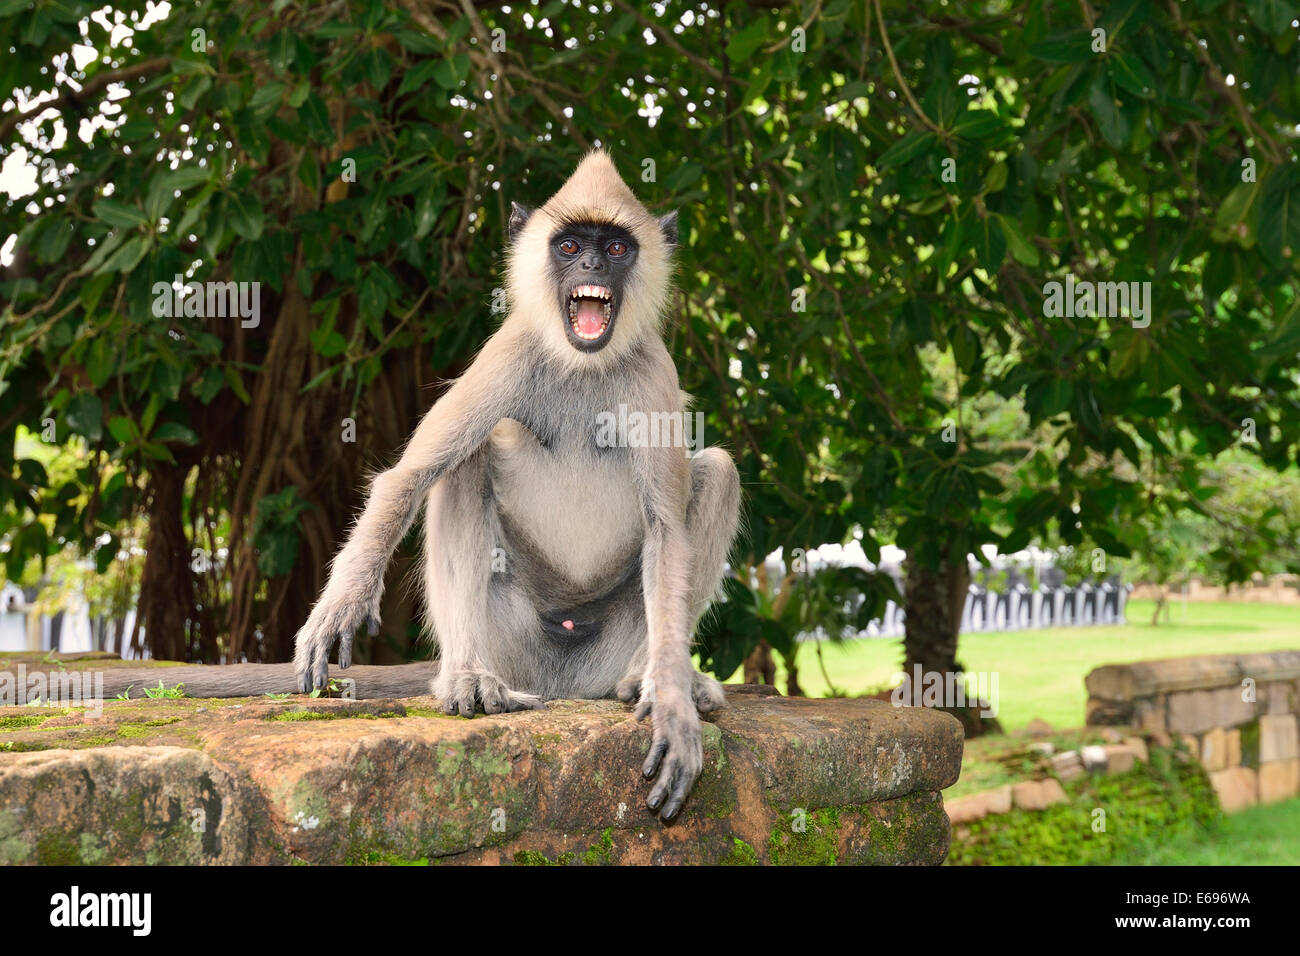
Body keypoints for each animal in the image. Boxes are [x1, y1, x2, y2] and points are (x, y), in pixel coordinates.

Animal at [295, 151, 743, 822]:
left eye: (615, 247)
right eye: (570, 246)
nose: (591, 266)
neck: (583, 364)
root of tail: (563, 684)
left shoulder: (654, 375)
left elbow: (667, 532)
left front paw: (672, 704)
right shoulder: (507, 351)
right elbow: (409, 478)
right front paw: (340, 606)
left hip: (615, 640)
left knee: (717, 469)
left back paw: (654, 678)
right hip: (511, 639)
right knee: (466, 464)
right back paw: (464, 677)